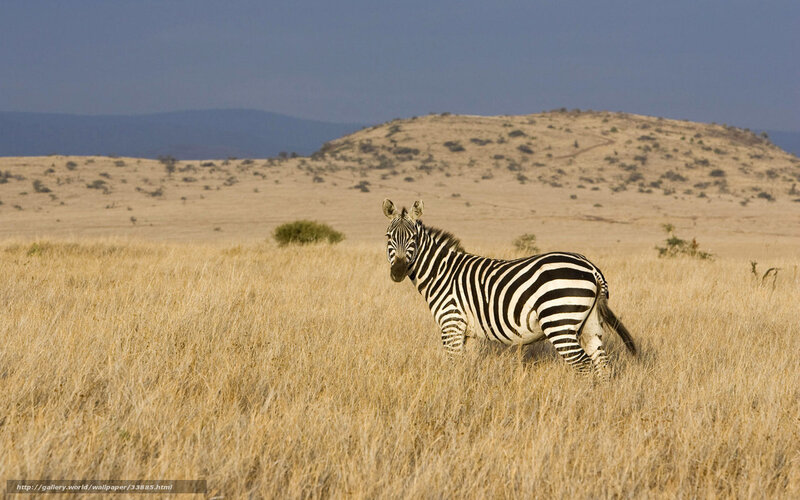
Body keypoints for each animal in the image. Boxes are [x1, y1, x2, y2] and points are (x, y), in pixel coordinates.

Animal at [382, 198, 636, 377]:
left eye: (413, 238)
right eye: (388, 237)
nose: (398, 272)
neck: (442, 273)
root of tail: (591, 267)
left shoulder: (451, 324)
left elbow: (453, 366)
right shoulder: (467, 332)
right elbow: (465, 367)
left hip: (559, 321)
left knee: (583, 365)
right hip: (589, 324)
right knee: (602, 364)